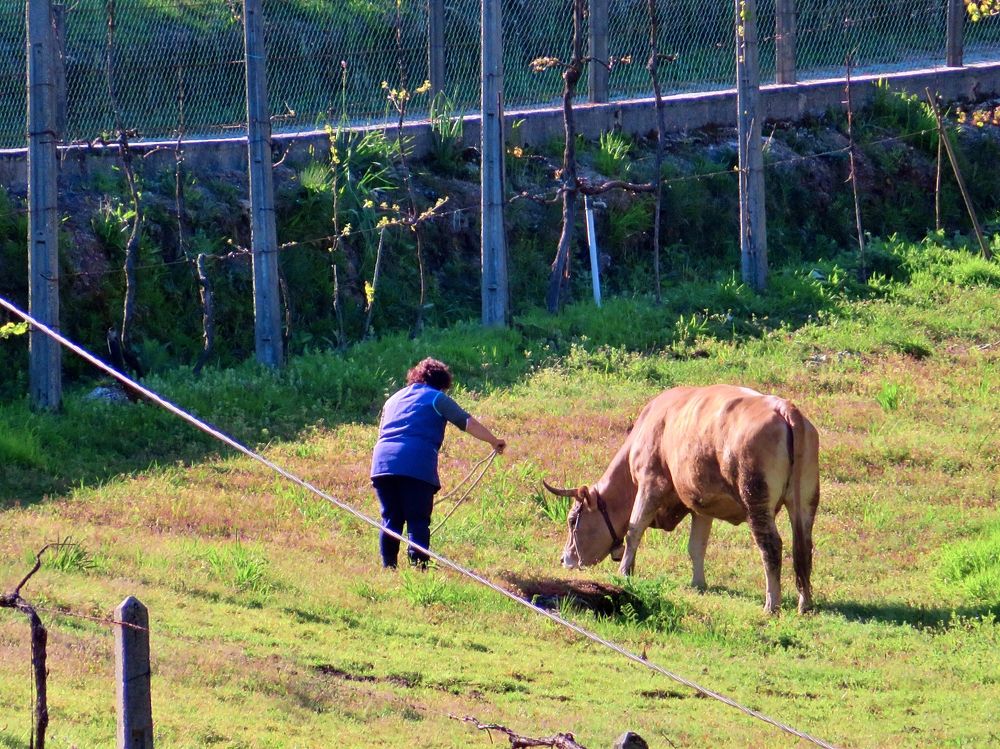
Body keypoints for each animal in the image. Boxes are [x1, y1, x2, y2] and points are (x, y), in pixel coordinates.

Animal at [545, 384, 820, 614]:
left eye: (572, 520)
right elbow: (696, 546)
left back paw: (771, 604)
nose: (564, 558)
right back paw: (805, 603)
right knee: (803, 548)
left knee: (771, 547)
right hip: (806, 501)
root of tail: (784, 408)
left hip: (756, 499)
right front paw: (698, 583)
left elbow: (634, 530)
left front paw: (623, 572)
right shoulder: (702, 504)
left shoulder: (650, 483)